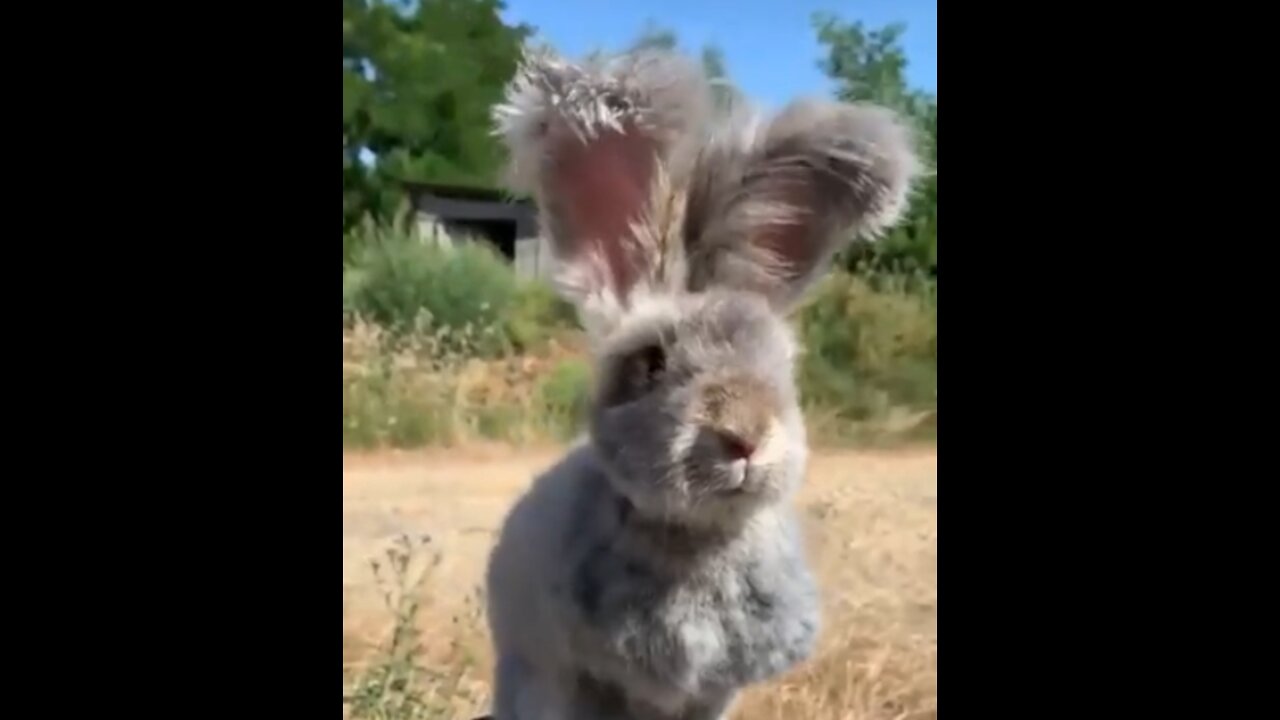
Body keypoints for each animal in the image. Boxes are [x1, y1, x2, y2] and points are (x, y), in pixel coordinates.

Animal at [481, 50, 921, 717]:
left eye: (783, 367)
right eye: (651, 364)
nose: (744, 437)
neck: (696, 540)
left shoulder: (710, 694)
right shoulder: (564, 676)